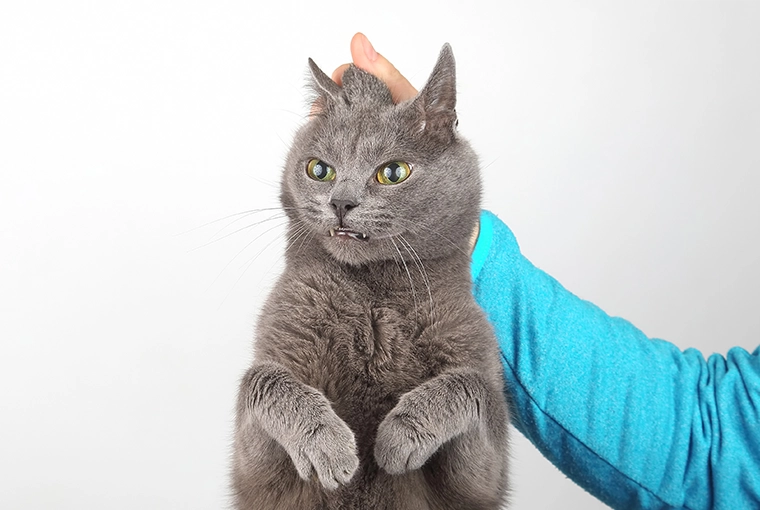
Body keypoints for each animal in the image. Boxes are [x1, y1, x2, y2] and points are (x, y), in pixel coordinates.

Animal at [232, 44, 510, 510]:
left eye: (392, 173)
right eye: (319, 170)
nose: (341, 202)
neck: (372, 296)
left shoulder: (482, 482)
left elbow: (471, 385)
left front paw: (398, 437)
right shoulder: (254, 474)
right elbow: (262, 379)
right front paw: (329, 446)